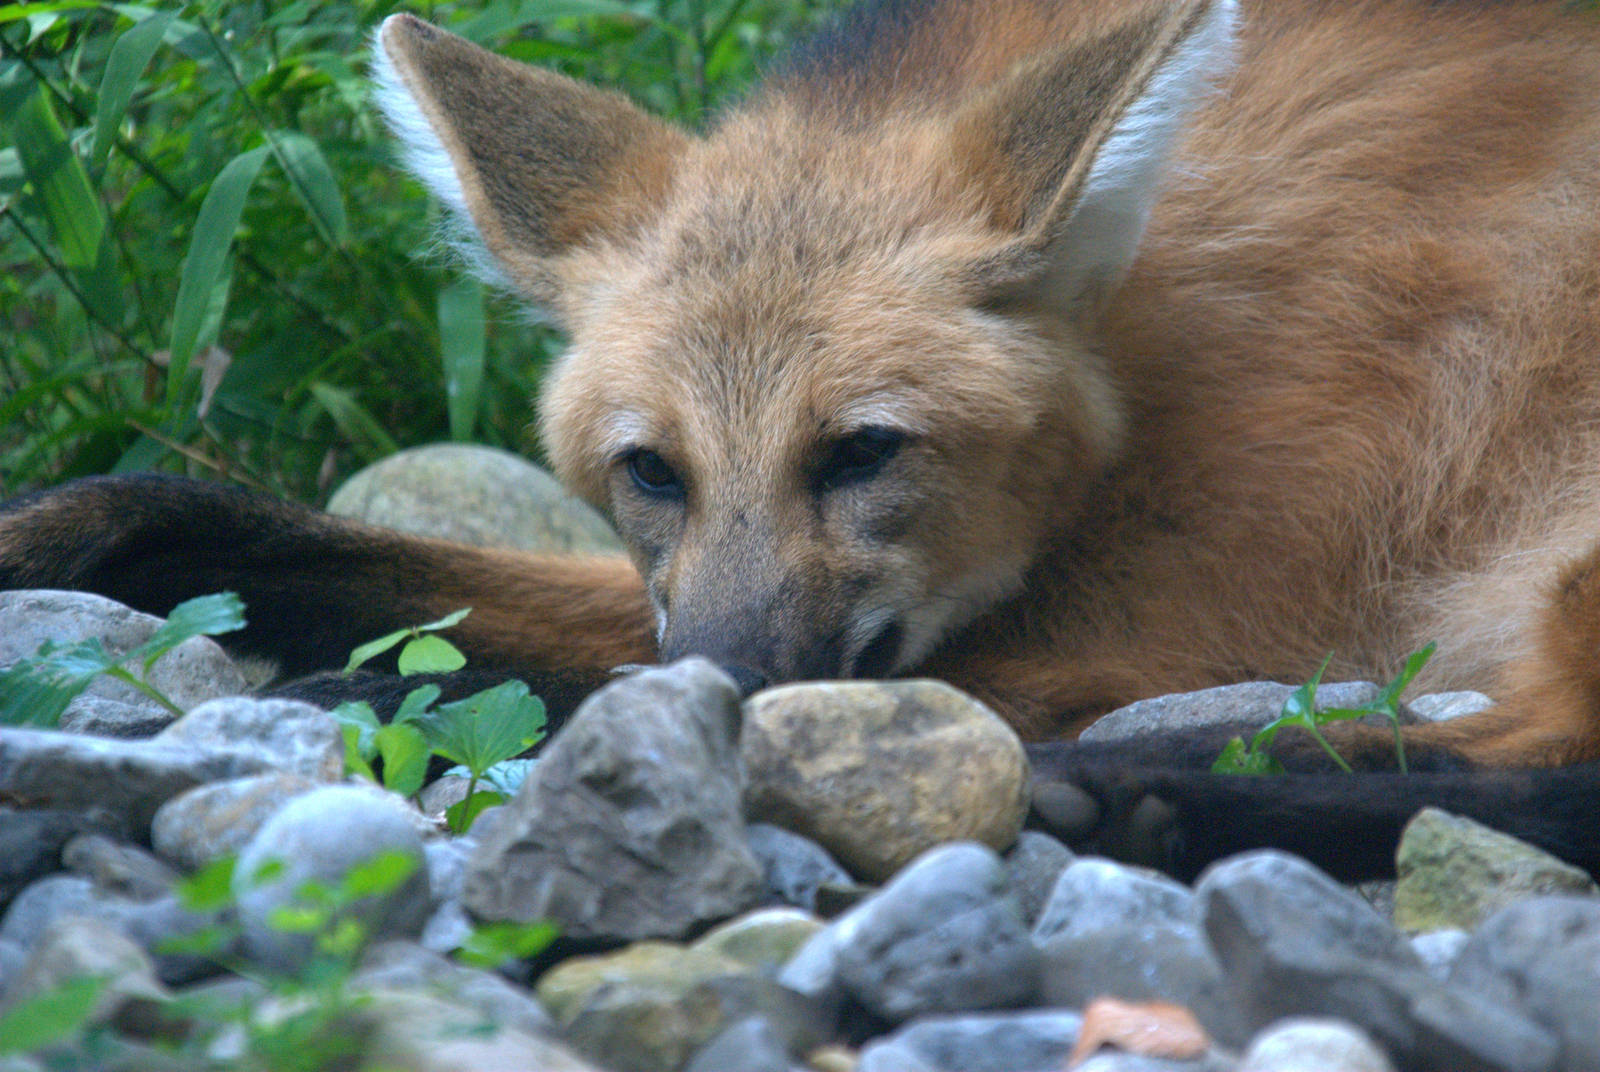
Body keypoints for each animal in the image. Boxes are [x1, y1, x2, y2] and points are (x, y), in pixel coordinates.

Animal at [4, 0, 1600, 878]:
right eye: (653, 470)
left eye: (862, 453)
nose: (725, 684)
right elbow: (171, 509)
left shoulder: (1150, 623)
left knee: (1556, 773)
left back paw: (1123, 789)